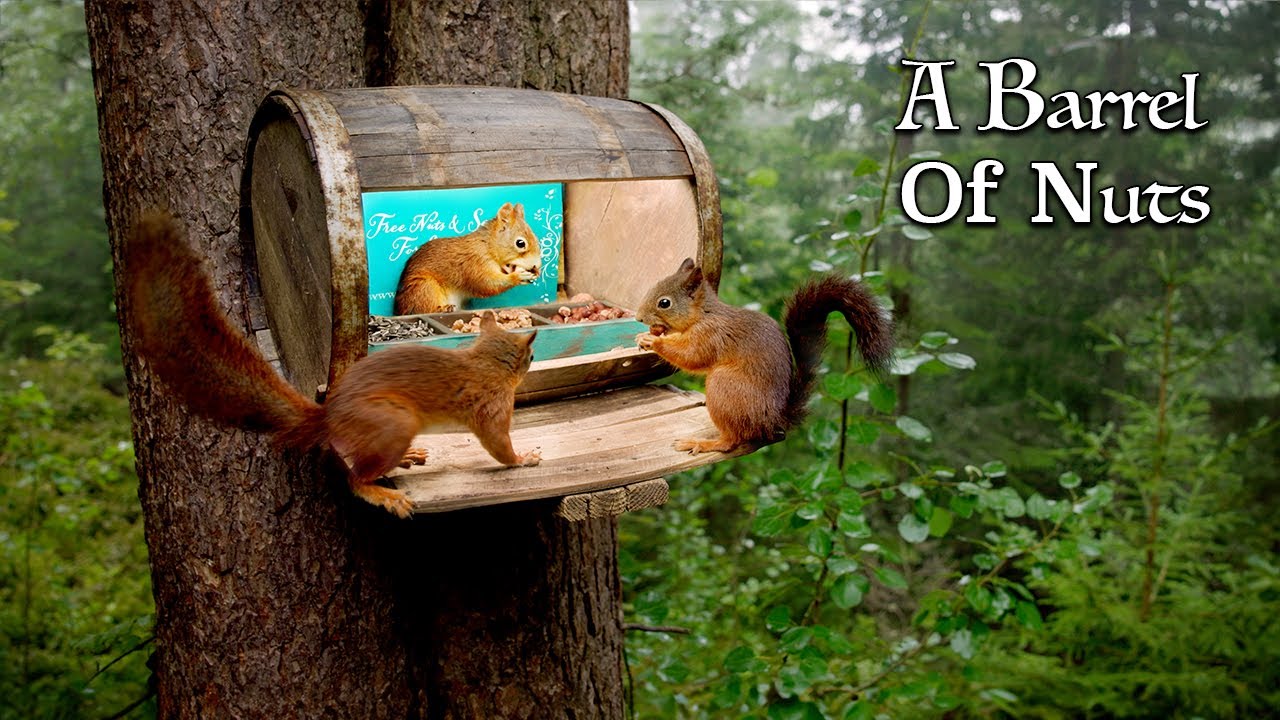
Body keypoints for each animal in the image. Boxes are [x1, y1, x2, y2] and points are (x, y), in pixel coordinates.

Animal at [393, 202, 542, 315]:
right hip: (424, 287)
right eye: (520, 243)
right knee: (422, 309)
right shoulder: (474, 262)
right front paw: (518, 277)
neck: (487, 246)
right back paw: (443, 309)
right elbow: (486, 283)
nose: (537, 266)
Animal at [635, 258, 894, 455]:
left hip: (724, 386)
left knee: (731, 442)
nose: (638, 317)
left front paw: (653, 341)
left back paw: (704, 443)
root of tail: (773, 420)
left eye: (664, 303)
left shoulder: (710, 336)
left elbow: (691, 356)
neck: (703, 314)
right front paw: (647, 335)